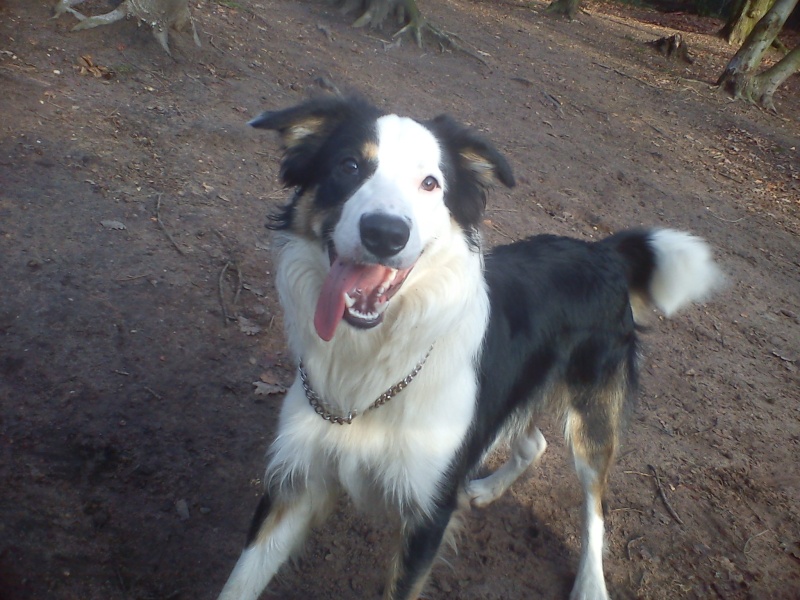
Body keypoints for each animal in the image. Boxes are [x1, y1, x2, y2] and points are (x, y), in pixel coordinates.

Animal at [217, 96, 720, 596]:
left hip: (592, 418)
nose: (385, 233)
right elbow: (240, 581)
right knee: (533, 442)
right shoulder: (296, 480)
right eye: (349, 165)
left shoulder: (429, 514)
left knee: (595, 503)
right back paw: (487, 488)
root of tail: (603, 252)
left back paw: (590, 583)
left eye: (430, 183)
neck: (372, 362)